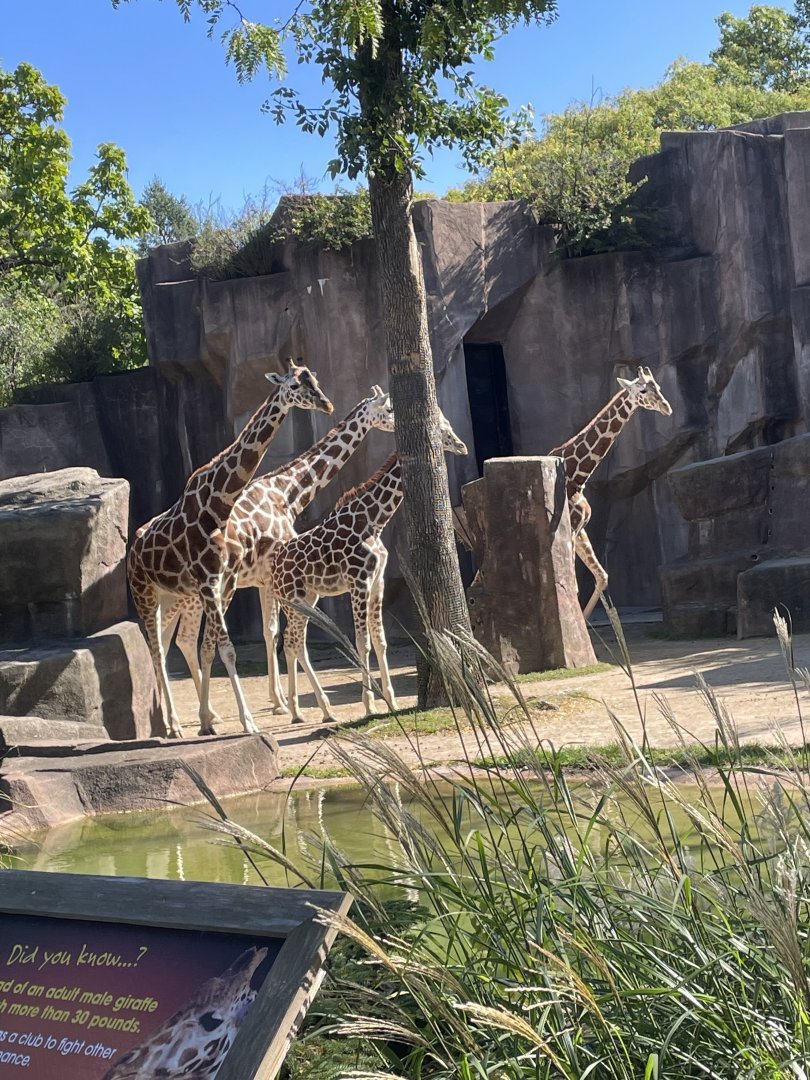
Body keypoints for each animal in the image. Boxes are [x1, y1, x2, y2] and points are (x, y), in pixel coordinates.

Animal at [127, 359, 333, 739]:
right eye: (294, 386)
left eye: (314, 379)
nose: (326, 404)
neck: (217, 507)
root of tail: (133, 548)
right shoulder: (210, 583)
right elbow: (227, 647)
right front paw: (248, 721)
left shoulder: (223, 582)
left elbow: (217, 646)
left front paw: (213, 719)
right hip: (144, 593)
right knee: (155, 649)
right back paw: (173, 726)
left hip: (170, 594)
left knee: (165, 645)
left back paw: (184, 720)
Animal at [161, 385, 396, 720]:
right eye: (388, 409)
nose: (401, 425)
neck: (286, 493)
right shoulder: (275, 576)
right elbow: (284, 634)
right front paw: (290, 703)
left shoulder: (266, 580)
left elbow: (270, 631)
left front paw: (279, 701)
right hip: (197, 594)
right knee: (177, 638)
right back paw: (187, 718)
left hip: (181, 597)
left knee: (169, 639)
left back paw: (191, 716)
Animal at [269, 412, 468, 724]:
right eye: (441, 428)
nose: (462, 446)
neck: (374, 520)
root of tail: (274, 565)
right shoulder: (357, 581)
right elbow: (362, 641)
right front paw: (370, 705)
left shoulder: (377, 581)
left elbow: (380, 640)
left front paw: (391, 700)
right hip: (293, 599)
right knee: (293, 643)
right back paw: (323, 710)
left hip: (308, 598)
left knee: (291, 643)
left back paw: (299, 712)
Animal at [548, 366, 672, 620]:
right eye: (643, 390)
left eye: (658, 386)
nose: (667, 408)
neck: (577, 475)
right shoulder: (569, 528)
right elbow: (573, 588)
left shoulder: (580, 528)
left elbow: (601, 576)